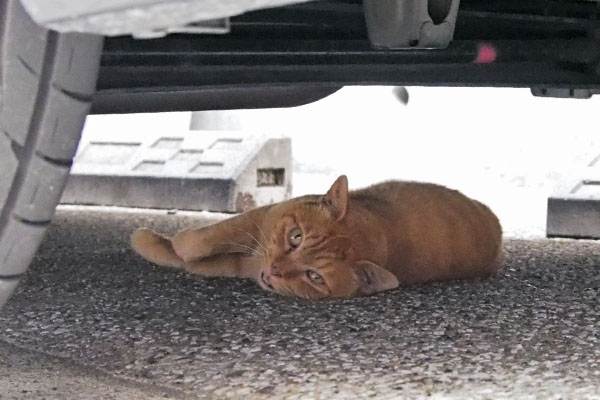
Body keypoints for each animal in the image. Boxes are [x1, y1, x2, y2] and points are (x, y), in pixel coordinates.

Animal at [131, 177, 502, 298]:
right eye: (295, 237)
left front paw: (153, 244)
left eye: (314, 276)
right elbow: (203, 239)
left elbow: (195, 259)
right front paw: (165, 241)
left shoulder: (242, 262)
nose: (275, 271)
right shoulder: (259, 218)